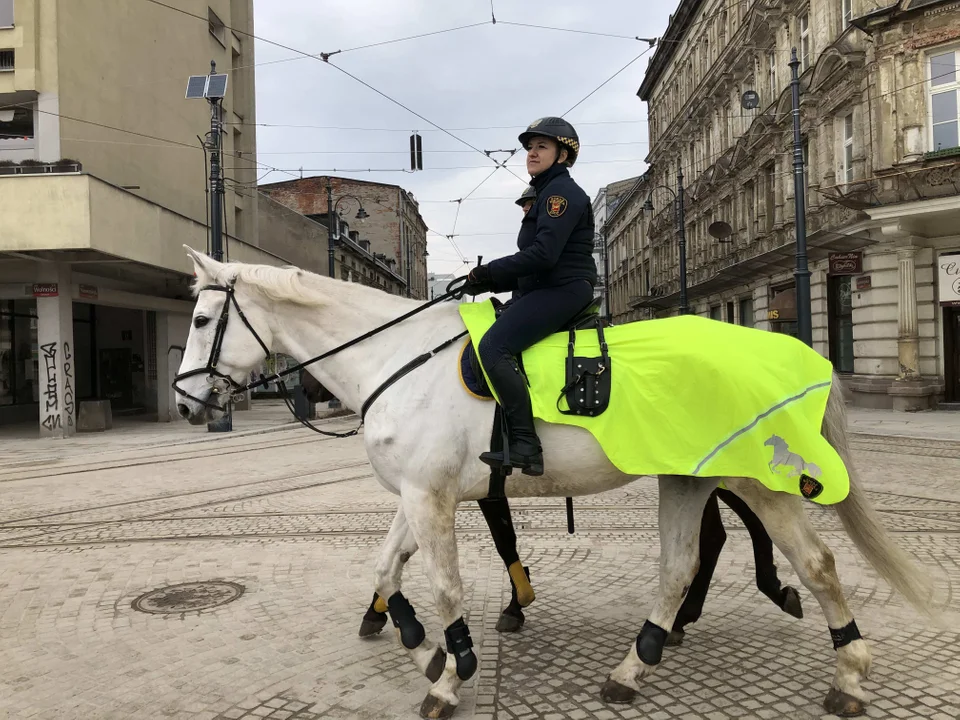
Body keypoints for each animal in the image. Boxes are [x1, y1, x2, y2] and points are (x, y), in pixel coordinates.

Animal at [174, 248, 936, 720]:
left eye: (203, 319)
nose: (185, 404)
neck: (397, 359)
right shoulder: (418, 495)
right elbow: (386, 570)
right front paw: (423, 646)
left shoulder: (431, 499)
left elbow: (444, 587)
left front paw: (451, 673)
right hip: (688, 480)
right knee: (682, 565)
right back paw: (635, 665)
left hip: (756, 481)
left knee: (817, 563)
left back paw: (849, 673)